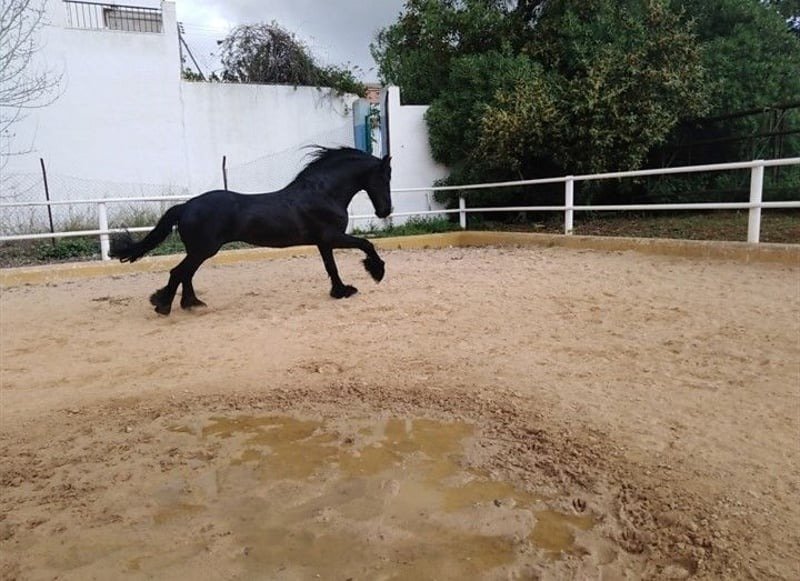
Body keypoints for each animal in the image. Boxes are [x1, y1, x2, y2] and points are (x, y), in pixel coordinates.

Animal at [109, 146, 392, 315]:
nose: (385, 211)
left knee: (186, 273)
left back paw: (191, 303)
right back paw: (163, 305)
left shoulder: (323, 242)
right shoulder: (332, 237)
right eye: (384, 176)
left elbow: (331, 268)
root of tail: (186, 206)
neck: (323, 193)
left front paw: (341, 291)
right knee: (179, 272)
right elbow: (366, 243)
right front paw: (376, 273)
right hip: (204, 249)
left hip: (199, 251)